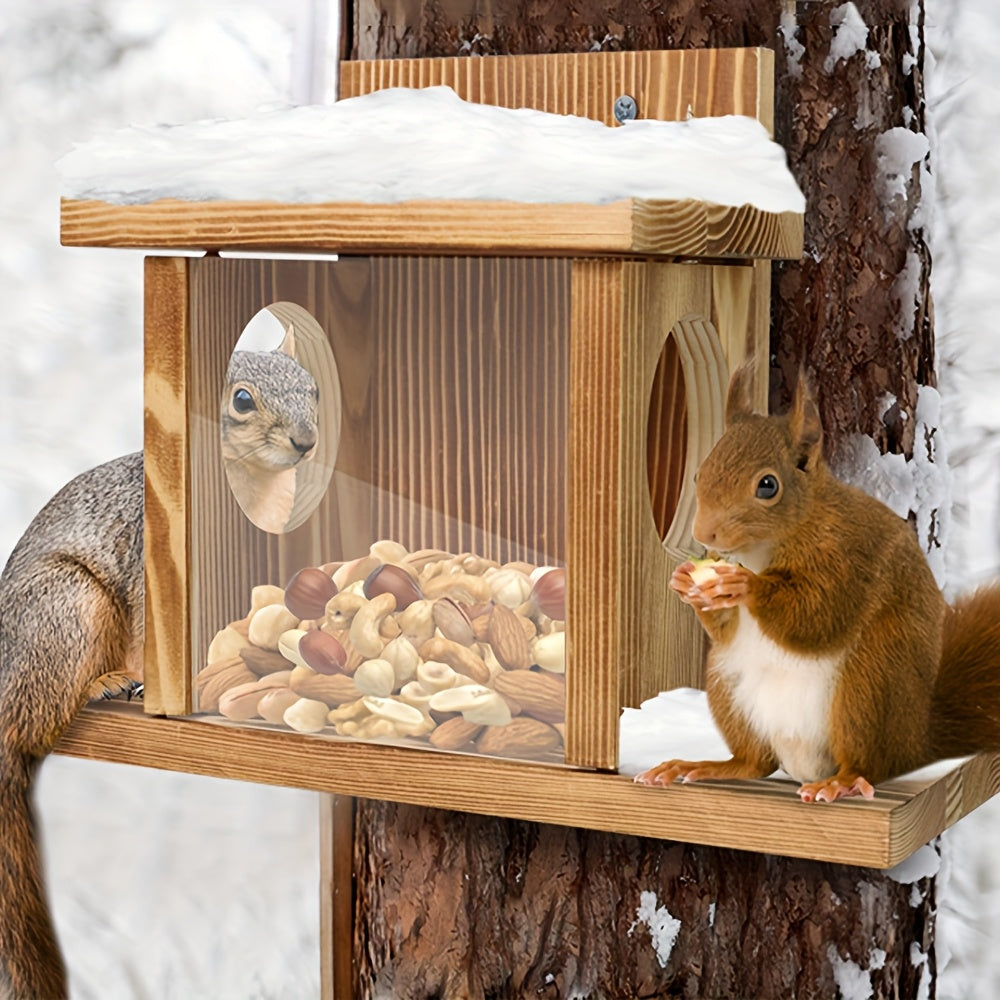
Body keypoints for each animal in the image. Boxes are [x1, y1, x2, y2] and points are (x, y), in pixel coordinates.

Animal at [0, 336, 319, 998]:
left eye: (314, 388)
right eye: (241, 400)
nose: (306, 441)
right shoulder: (155, 573)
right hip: (65, 607)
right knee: (38, 716)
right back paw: (106, 682)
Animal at [635, 363, 1000, 804]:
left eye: (768, 485)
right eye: (699, 472)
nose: (704, 534)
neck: (766, 547)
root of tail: (916, 739)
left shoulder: (848, 557)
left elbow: (817, 615)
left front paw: (748, 587)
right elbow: (725, 628)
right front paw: (685, 582)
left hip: (869, 687)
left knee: (866, 762)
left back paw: (841, 782)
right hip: (726, 684)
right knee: (755, 763)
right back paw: (699, 767)